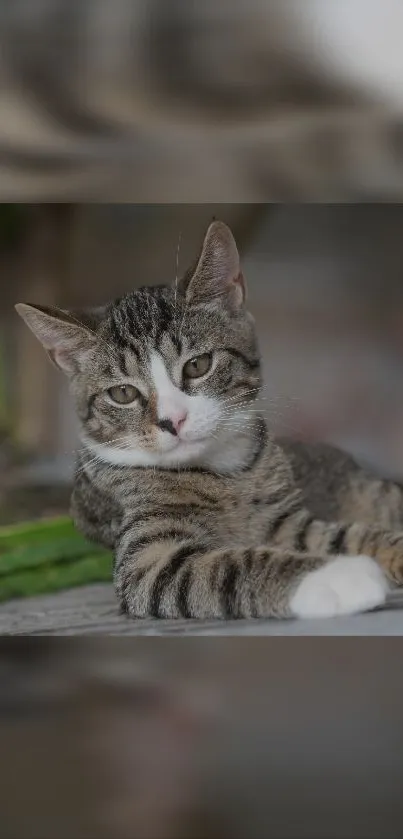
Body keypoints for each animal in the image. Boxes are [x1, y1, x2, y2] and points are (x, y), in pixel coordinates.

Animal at [18, 220, 403, 620]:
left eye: (198, 365)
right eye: (123, 394)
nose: (172, 420)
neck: (226, 476)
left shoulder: (283, 521)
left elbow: (343, 535)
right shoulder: (146, 561)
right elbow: (227, 565)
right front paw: (336, 577)